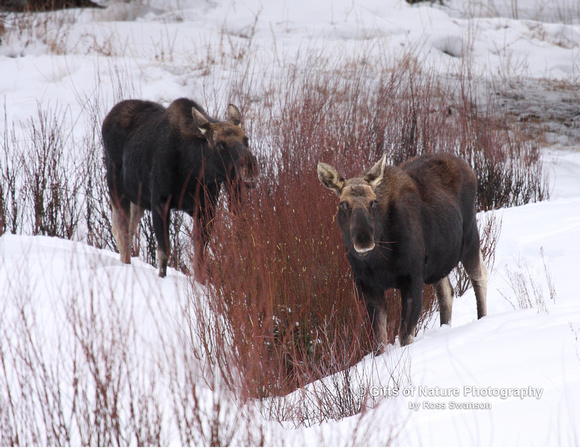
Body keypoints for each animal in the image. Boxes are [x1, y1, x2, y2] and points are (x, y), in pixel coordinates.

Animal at [103, 99, 260, 278]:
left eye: (246, 139)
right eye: (219, 144)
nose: (250, 167)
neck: (193, 170)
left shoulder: (206, 209)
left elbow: (200, 256)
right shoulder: (160, 202)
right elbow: (164, 252)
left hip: (137, 200)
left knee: (128, 231)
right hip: (117, 189)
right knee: (121, 232)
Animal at [320, 154, 488, 350]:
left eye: (373, 202)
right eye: (342, 204)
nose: (364, 240)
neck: (379, 260)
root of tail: (467, 166)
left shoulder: (412, 279)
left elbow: (404, 337)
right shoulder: (368, 286)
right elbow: (380, 341)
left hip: (470, 238)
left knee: (479, 276)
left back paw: (483, 318)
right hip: (438, 263)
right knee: (447, 291)